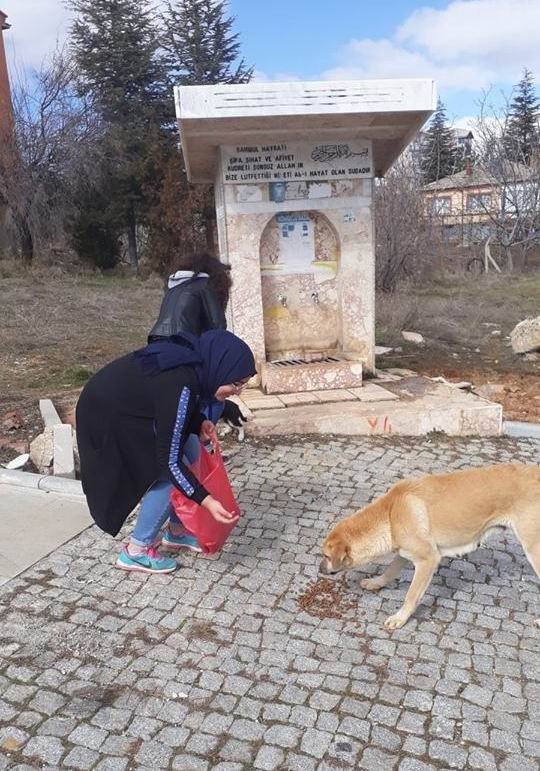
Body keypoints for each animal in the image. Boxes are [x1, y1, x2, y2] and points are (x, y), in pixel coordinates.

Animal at [320, 468, 540, 632]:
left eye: (326, 556)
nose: (319, 569)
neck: (390, 514)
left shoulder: (428, 560)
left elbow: (411, 595)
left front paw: (400, 618)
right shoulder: (405, 552)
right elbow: (390, 571)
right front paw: (376, 582)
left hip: (534, 550)